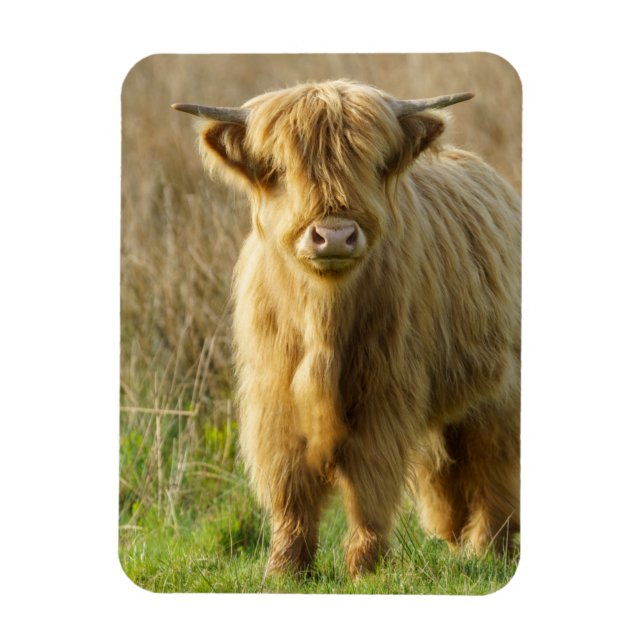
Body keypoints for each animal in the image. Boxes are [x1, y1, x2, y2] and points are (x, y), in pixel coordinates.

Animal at [173, 79, 521, 578]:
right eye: (279, 168)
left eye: (374, 164)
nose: (334, 235)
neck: (324, 320)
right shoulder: (274, 398)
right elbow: (289, 485)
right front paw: (285, 568)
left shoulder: (384, 396)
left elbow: (369, 483)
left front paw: (364, 566)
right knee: (446, 471)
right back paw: (457, 539)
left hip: (501, 393)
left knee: (494, 464)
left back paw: (489, 548)